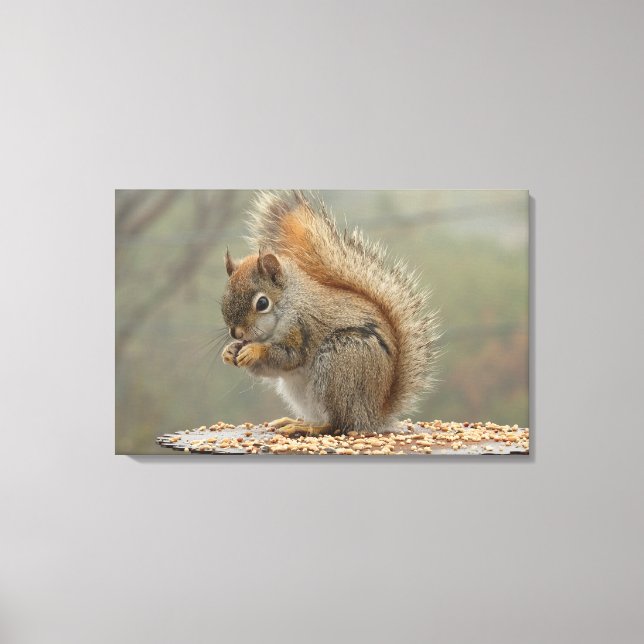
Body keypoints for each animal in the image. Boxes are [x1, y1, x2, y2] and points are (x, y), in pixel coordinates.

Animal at [220, 191, 440, 436]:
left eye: (262, 303)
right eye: (224, 296)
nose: (236, 333)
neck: (290, 302)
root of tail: (374, 413)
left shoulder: (302, 327)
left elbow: (288, 357)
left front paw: (254, 350)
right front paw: (229, 351)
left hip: (340, 362)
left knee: (339, 423)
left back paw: (308, 427)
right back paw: (295, 421)